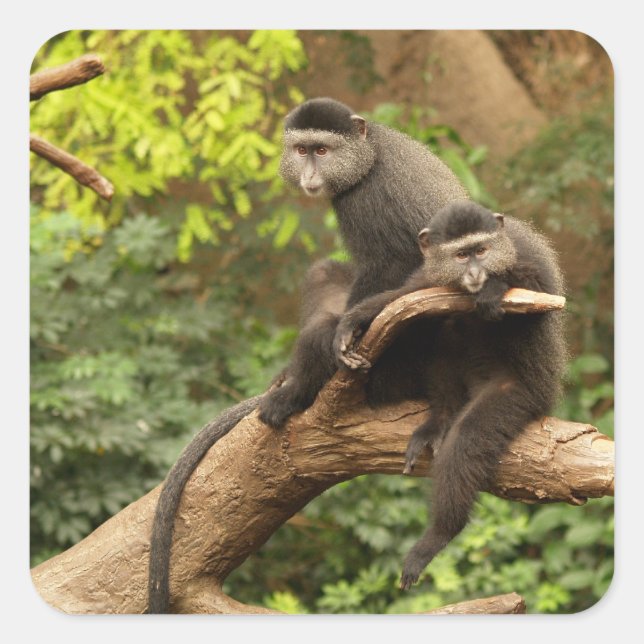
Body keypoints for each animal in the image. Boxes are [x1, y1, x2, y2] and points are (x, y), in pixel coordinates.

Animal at [147, 97, 467, 612]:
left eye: (322, 150)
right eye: (302, 150)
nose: (311, 173)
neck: (368, 154)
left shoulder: (366, 201)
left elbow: (393, 265)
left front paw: (339, 340)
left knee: (328, 330)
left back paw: (298, 392)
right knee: (322, 274)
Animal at [334, 200, 567, 590]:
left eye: (481, 251)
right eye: (461, 255)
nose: (475, 273)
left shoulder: (524, 254)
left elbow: (541, 296)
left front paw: (494, 287)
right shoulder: (431, 274)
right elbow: (406, 295)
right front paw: (353, 321)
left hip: (520, 394)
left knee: (467, 440)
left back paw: (439, 534)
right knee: (441, 327)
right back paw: (439, 420)